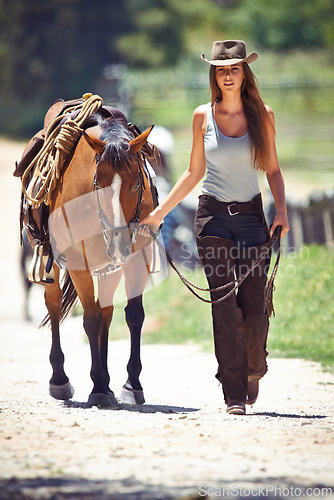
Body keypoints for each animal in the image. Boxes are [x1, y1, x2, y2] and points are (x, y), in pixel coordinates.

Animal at [23, 110, 162, 406]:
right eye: (99, 185)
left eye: (136, 183)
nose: (119, 241)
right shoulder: (79, 263)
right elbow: (91, 320)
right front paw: (98, 386)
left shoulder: (137, 258)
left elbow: (133, 315)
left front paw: (131, 384)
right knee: (55, 305)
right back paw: (60, 381)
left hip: (111, 266)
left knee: (106, 311)